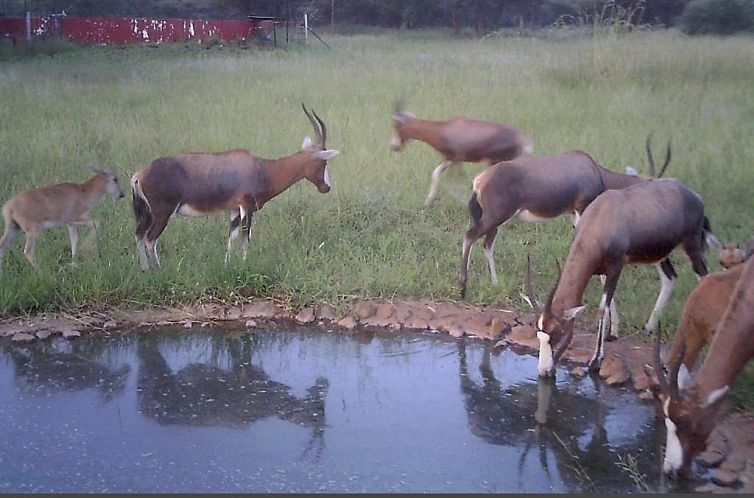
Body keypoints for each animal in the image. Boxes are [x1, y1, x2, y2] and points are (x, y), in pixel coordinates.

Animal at [131, 102, 338, 270]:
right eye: (324, 162)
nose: (326, 187)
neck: (261, 168)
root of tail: (139, 175)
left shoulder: (234, 210)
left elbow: (232, 237)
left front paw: (227, 265)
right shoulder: (247, 208)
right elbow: (246, 237)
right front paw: (246, 264)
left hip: (148, 214)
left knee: (139, 235)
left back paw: (145, 270)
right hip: (162, 214)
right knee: (150, 239)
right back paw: (158, 270)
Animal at [390, 99, 532, 204]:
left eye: (398, 126)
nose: (394, 146)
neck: (446, 129)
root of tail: (521, 139)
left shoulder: (457, 159)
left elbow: (456, 181)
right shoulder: (450, 159)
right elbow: (436, 175)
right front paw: (428, 201)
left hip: (497, 161)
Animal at [520, 179, 712, 378]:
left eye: (558, 333)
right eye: (538, 334)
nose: (544, 371)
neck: (601, 216)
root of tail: (694, 195)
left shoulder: (616, 266)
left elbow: (602, 308)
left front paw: (595, 362)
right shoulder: (601, 270)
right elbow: (608, 302)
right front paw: (613, 333)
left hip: (691, 246)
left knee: (705, 275)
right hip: (659, 253)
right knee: (670, 277)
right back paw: (649, 327)